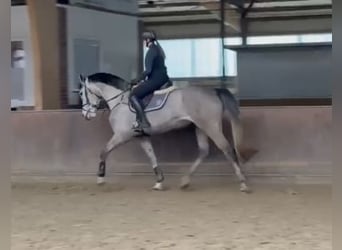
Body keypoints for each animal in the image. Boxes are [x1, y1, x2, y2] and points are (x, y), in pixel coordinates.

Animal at [77, 72, 250, 193]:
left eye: (80, 93)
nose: (86, 115)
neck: (120, 101)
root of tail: (213, 91)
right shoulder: (141, 136)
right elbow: (151, 155)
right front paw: (159, 181)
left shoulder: (121, 135)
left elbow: (103, 151)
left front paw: (100, 179)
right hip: (200, 127)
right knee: (203, 151)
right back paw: (185, 181)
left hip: (210, 126)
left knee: (227, 149)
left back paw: (243, 183)